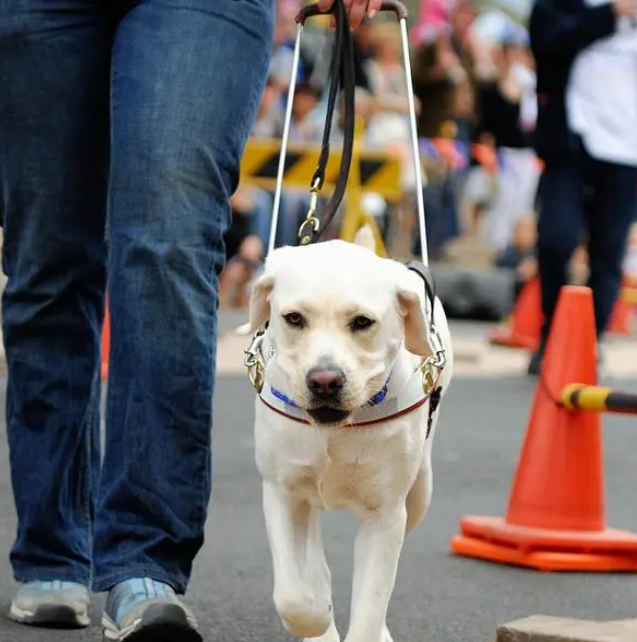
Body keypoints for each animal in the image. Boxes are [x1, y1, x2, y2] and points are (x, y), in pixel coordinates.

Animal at [245, 230, 452, 640]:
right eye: (294, 318)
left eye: (362, 322)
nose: (325, 380)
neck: (336, 430)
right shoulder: (280, 490)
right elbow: (293, 597)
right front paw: (318, 618)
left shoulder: (386, 513)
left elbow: (372, 602)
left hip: (421, 490)